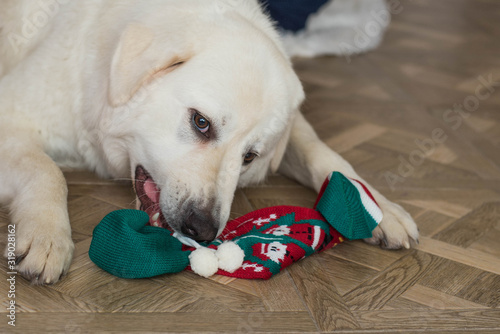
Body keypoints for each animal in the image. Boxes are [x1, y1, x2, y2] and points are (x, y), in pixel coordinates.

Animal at [0, 0, 418, 284]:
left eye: (250, 156)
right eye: (201, 123)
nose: (201, 230)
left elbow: (320, 151)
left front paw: (374, 204)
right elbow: (48, 171)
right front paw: (47, 235)